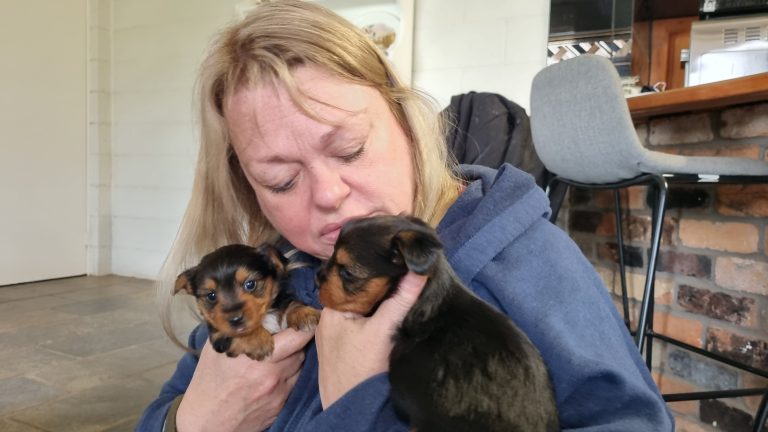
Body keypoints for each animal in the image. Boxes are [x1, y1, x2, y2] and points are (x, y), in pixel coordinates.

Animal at [176, 245, 320, 360]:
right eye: (211, 296)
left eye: (250, 284)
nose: (235, 319)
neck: (266, 316)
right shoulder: (218, 336)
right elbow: (236, 333)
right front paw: (256, 340)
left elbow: (291, 305)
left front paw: (304, 314)